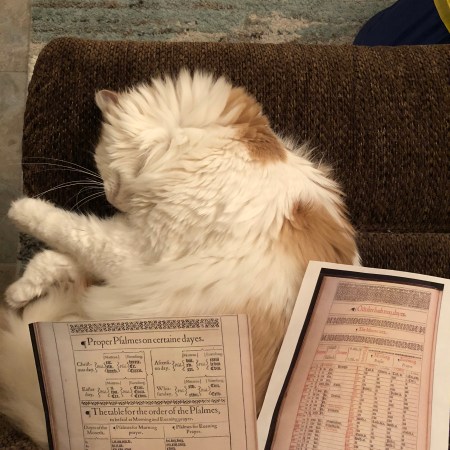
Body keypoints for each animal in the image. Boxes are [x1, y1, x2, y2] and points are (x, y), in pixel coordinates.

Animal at [1, 70, 359, 448]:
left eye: (101, 164)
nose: (113, 199)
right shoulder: (132, 253)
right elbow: (59, 255)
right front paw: (19, 291)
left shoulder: (135, 252)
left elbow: (70, 229)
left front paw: (20, 209)